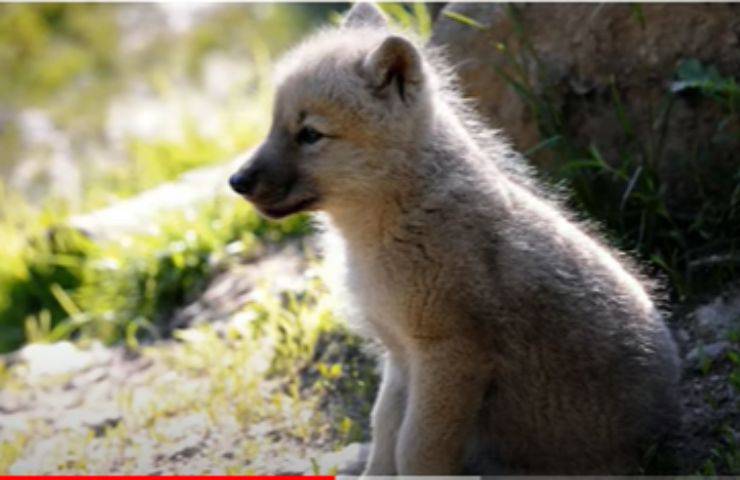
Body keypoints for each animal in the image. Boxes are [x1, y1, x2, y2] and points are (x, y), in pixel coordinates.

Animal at [229, 3, 681, 475]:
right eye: (273, 125)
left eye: (310, 134)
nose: (236, 181)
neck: (397, 221)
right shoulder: (400, 357)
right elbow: (384, 430)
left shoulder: (448, 357)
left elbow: (414, 449)